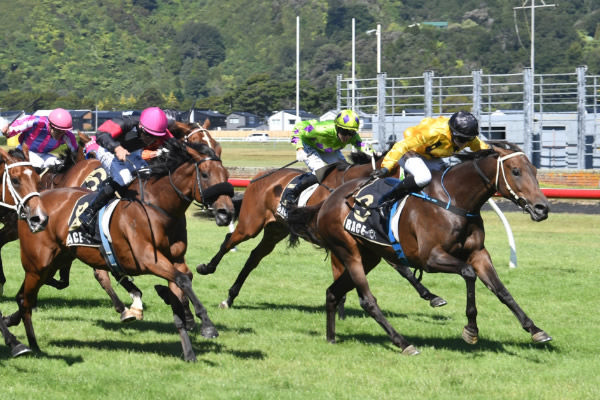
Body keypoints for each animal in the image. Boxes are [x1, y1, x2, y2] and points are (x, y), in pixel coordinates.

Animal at [9, 140, 234, 362]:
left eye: (225, 174)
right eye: (204, 174)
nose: (227, 212)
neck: (160, 208)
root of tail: (31, 207)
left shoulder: (176, 260)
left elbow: (182, 284)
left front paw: (188, 348)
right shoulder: (147, 259)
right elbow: (183, 279)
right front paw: (207, 325)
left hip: (54, 261)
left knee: (27, 295)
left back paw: (12, 322)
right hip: (37, 264)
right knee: (26, 298)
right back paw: (29, 343)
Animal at [197, 152, 446, 310]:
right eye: (408, 174)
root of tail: (258, 177)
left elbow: (402, 268)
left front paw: (431, 296)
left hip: (276, 229)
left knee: (254, 257)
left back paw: (230, 297)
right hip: (251, 224)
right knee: (229, 240)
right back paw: (207, 268)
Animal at [288, 142, 552, 354]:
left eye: (534, 170)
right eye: (515, 171)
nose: (542, 208)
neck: (454, 201)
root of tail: (326, 202)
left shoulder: (479, 254)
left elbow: (501, 290)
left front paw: (535, 329)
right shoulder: (431, 258)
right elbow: (468, 273)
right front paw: (471, 329)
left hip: (369, 256)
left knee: (332, 292)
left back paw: (331, 338)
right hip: (349, 252)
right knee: (367, 300)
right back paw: (403, 343)